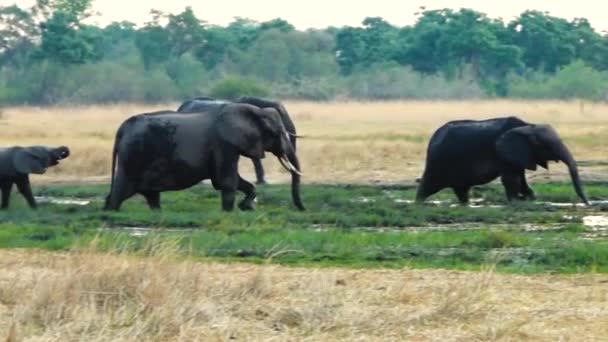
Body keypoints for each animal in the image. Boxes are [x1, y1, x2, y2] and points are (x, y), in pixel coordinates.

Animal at [103, 103, 308, 211]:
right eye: (277, 133)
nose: (302, 209)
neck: (254, 111)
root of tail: (121, 129)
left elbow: (234, 181)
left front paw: (246, 207)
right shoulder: (225, 145)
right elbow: (227, 180)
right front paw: (229, 212)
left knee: (151, 195)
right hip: (133, 155)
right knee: (122, 191)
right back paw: (112, 211)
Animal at [416, 116, 588, 204]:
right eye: (546, 146)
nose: (588, 204)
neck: (528, 126)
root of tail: (433, 138)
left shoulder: (519, 155)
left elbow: (521, 178)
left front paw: (530, 198)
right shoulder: (502, 153)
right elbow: (511, 179)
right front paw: (517, 202)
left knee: (461, 189)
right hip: (439, 161)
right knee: (428, 185)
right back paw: (418, 204)